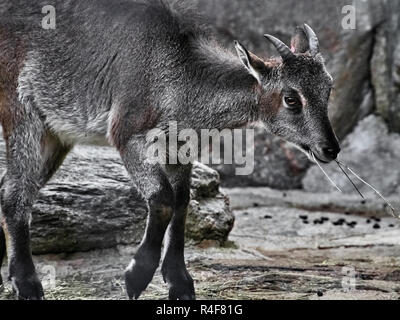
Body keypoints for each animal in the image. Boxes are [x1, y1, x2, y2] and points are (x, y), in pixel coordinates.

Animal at [0, 0, 340, 300]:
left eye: (329, 87)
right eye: (291, 98)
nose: (330, 149)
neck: (178, 77)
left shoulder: (180, 149)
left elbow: (182, 202)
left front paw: (180, 282)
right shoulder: (127, 134)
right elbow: (163, 200)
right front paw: (136, 277)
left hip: (55, 135)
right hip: (22, 112)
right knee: (15, 194)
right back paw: (27, 284)